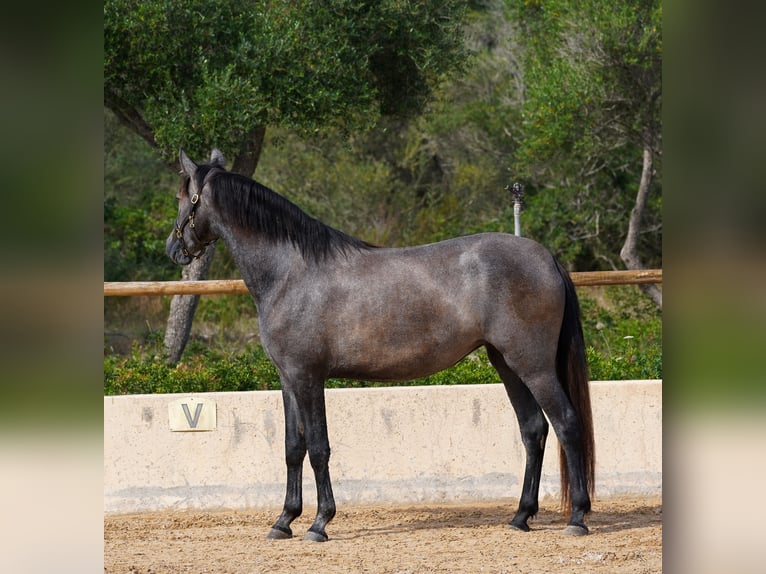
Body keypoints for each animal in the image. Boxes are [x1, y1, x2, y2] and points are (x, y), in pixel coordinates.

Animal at [166, 148, 600, 544]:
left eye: (183, 197)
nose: (173, 248)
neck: (290, 272)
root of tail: (546, 258)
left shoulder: (308, 377)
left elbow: (318, 447)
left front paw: (319, 524)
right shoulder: (288, 379)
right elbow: (293, 447)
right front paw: (283, 521)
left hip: (534, 366)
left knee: (566, 422)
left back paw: (577, 518)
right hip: (507, 363)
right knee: (533, 429)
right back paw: (521, 516)